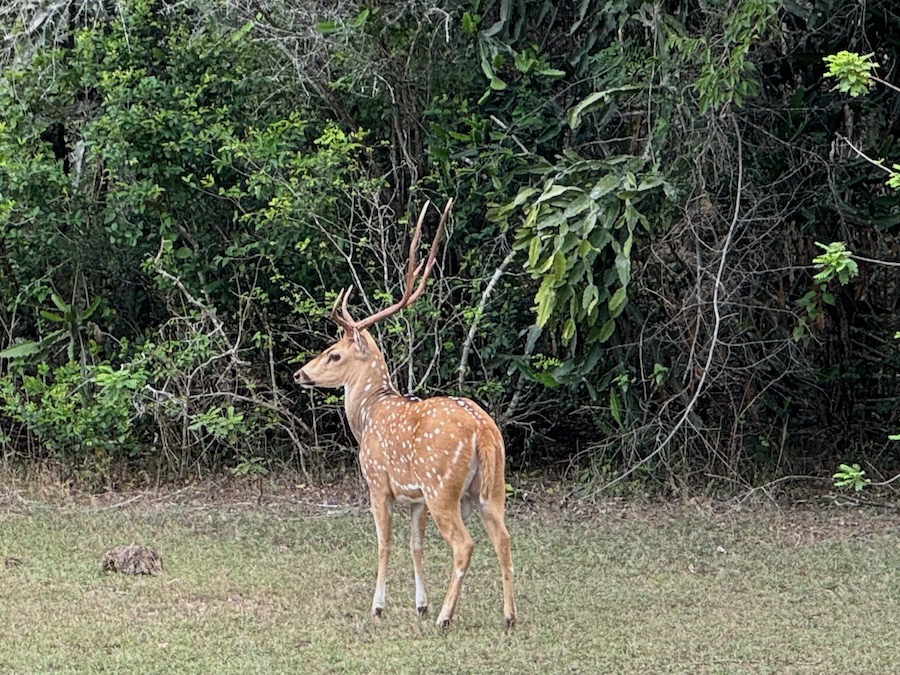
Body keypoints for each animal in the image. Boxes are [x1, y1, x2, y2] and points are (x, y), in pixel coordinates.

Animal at [293, 200, 516, 629]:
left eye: (334, 354)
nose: (300, 374)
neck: (368, 413)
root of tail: (482, 431)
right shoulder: (414, 497)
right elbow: (415, 545)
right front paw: (419, 603)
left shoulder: (378, 481)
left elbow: (384, 543)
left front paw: (379, 606)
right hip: (492, 486)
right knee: (504, 538)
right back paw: (509, 616)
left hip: (441, 485)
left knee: (465, 544)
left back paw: (445, 618)